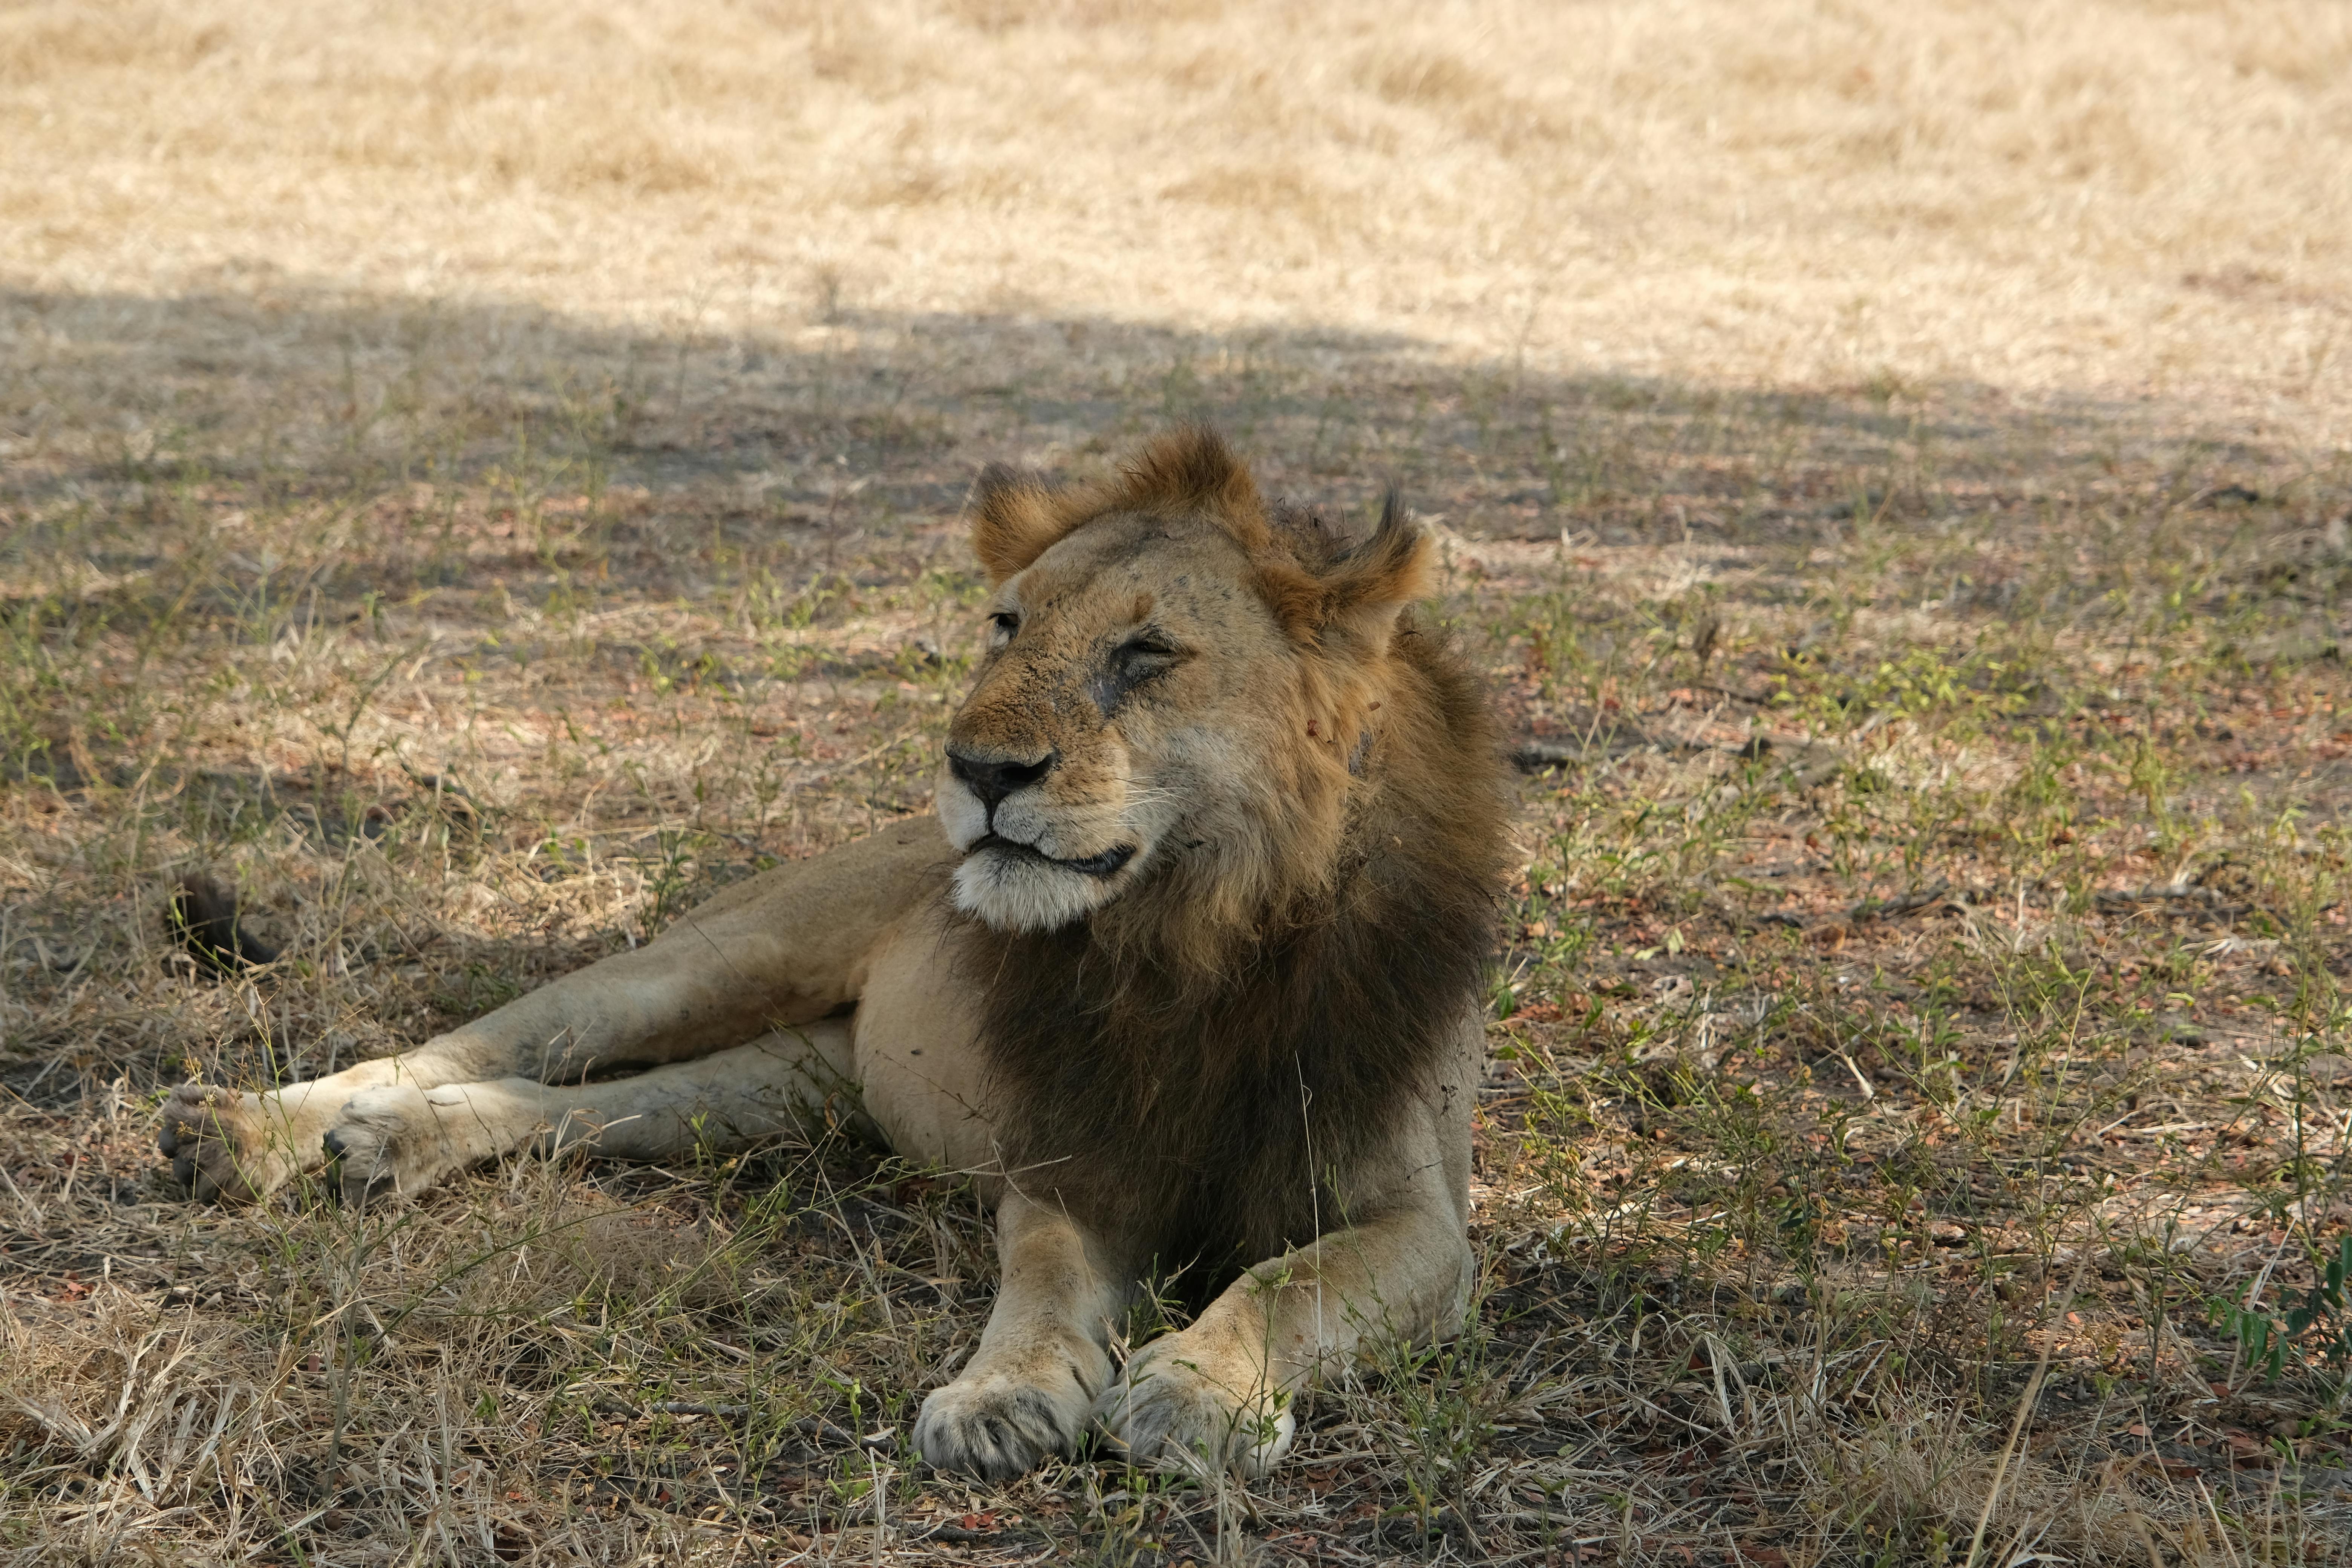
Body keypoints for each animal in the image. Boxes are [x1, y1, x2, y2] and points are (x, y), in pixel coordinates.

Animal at [157, 428, 1511, 1480]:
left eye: (1148, 653)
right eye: (1006, 625)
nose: (979, 772)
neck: (1193, 935)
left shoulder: (1423, 1224)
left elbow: (1289, 1284)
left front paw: (1196, 1391)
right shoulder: (1071, 1160)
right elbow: (1042, 1277)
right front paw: (1002, 1397)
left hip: (782, 1091)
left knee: (566, 1106)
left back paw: (392, 1145)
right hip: (712, 964)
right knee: (481, 1040)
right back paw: (258, 1132)